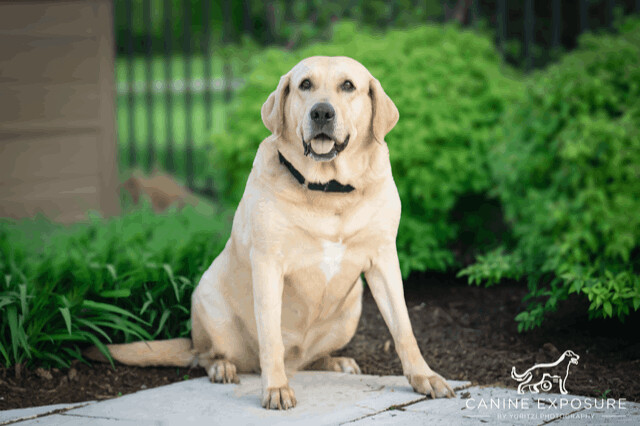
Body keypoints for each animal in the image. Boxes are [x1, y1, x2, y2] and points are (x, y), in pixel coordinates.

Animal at [90, 56, 458, 410]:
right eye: (305, 84)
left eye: (348, 86)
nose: (321, 112)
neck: (329, 191)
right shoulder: (268, 264)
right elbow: (270, 336)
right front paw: (276, 388)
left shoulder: (383, 259)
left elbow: (404, 328)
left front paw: (424, 377)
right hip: (209, 301)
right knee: (206, 355)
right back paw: (224, 367)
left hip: (351, 308)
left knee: (309, 358)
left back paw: (334, 361)